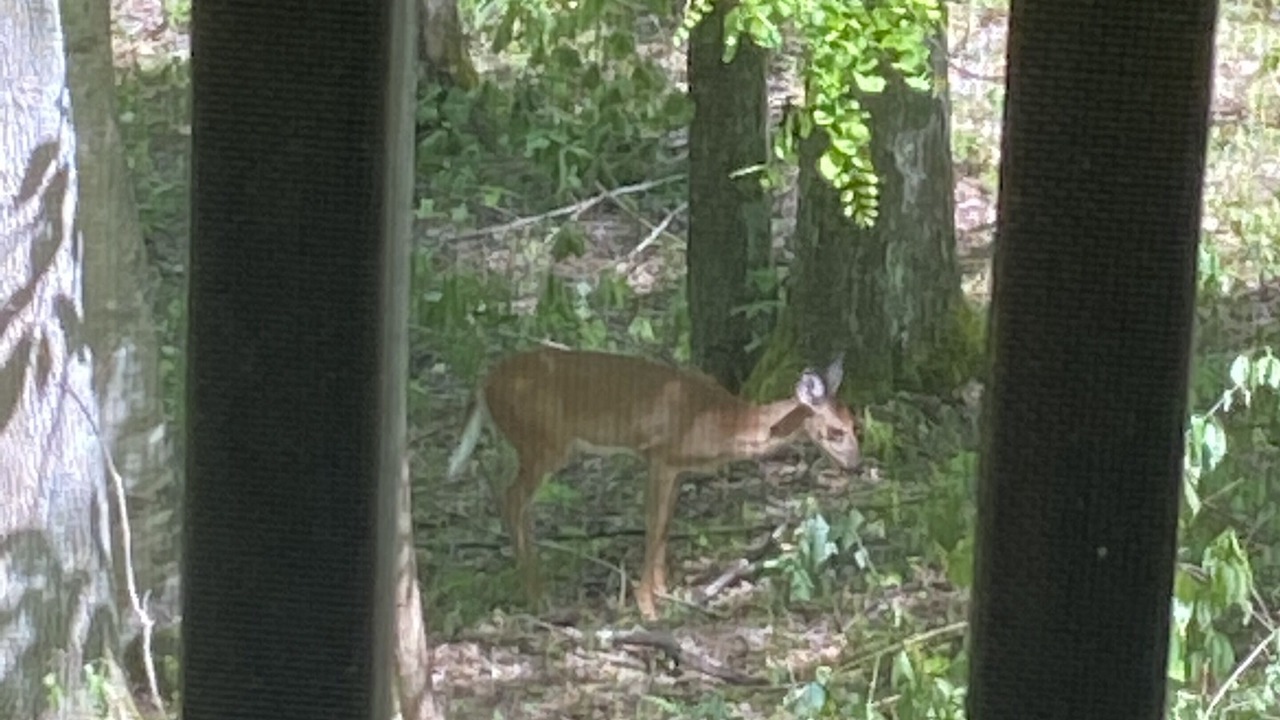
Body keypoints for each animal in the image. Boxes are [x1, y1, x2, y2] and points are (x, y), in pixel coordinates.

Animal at [446, 346, 861, 621]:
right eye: (835, 432)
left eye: (856, 424)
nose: (857, 466)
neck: (716, 421)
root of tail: (484, 383)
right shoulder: (658, 455)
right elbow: (652, 523)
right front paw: (648, 608)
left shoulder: (675, 468)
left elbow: (665, 526)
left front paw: (666, 593)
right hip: (542, 442)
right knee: (512, 497)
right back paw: (538, 596)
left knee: (512, 499)